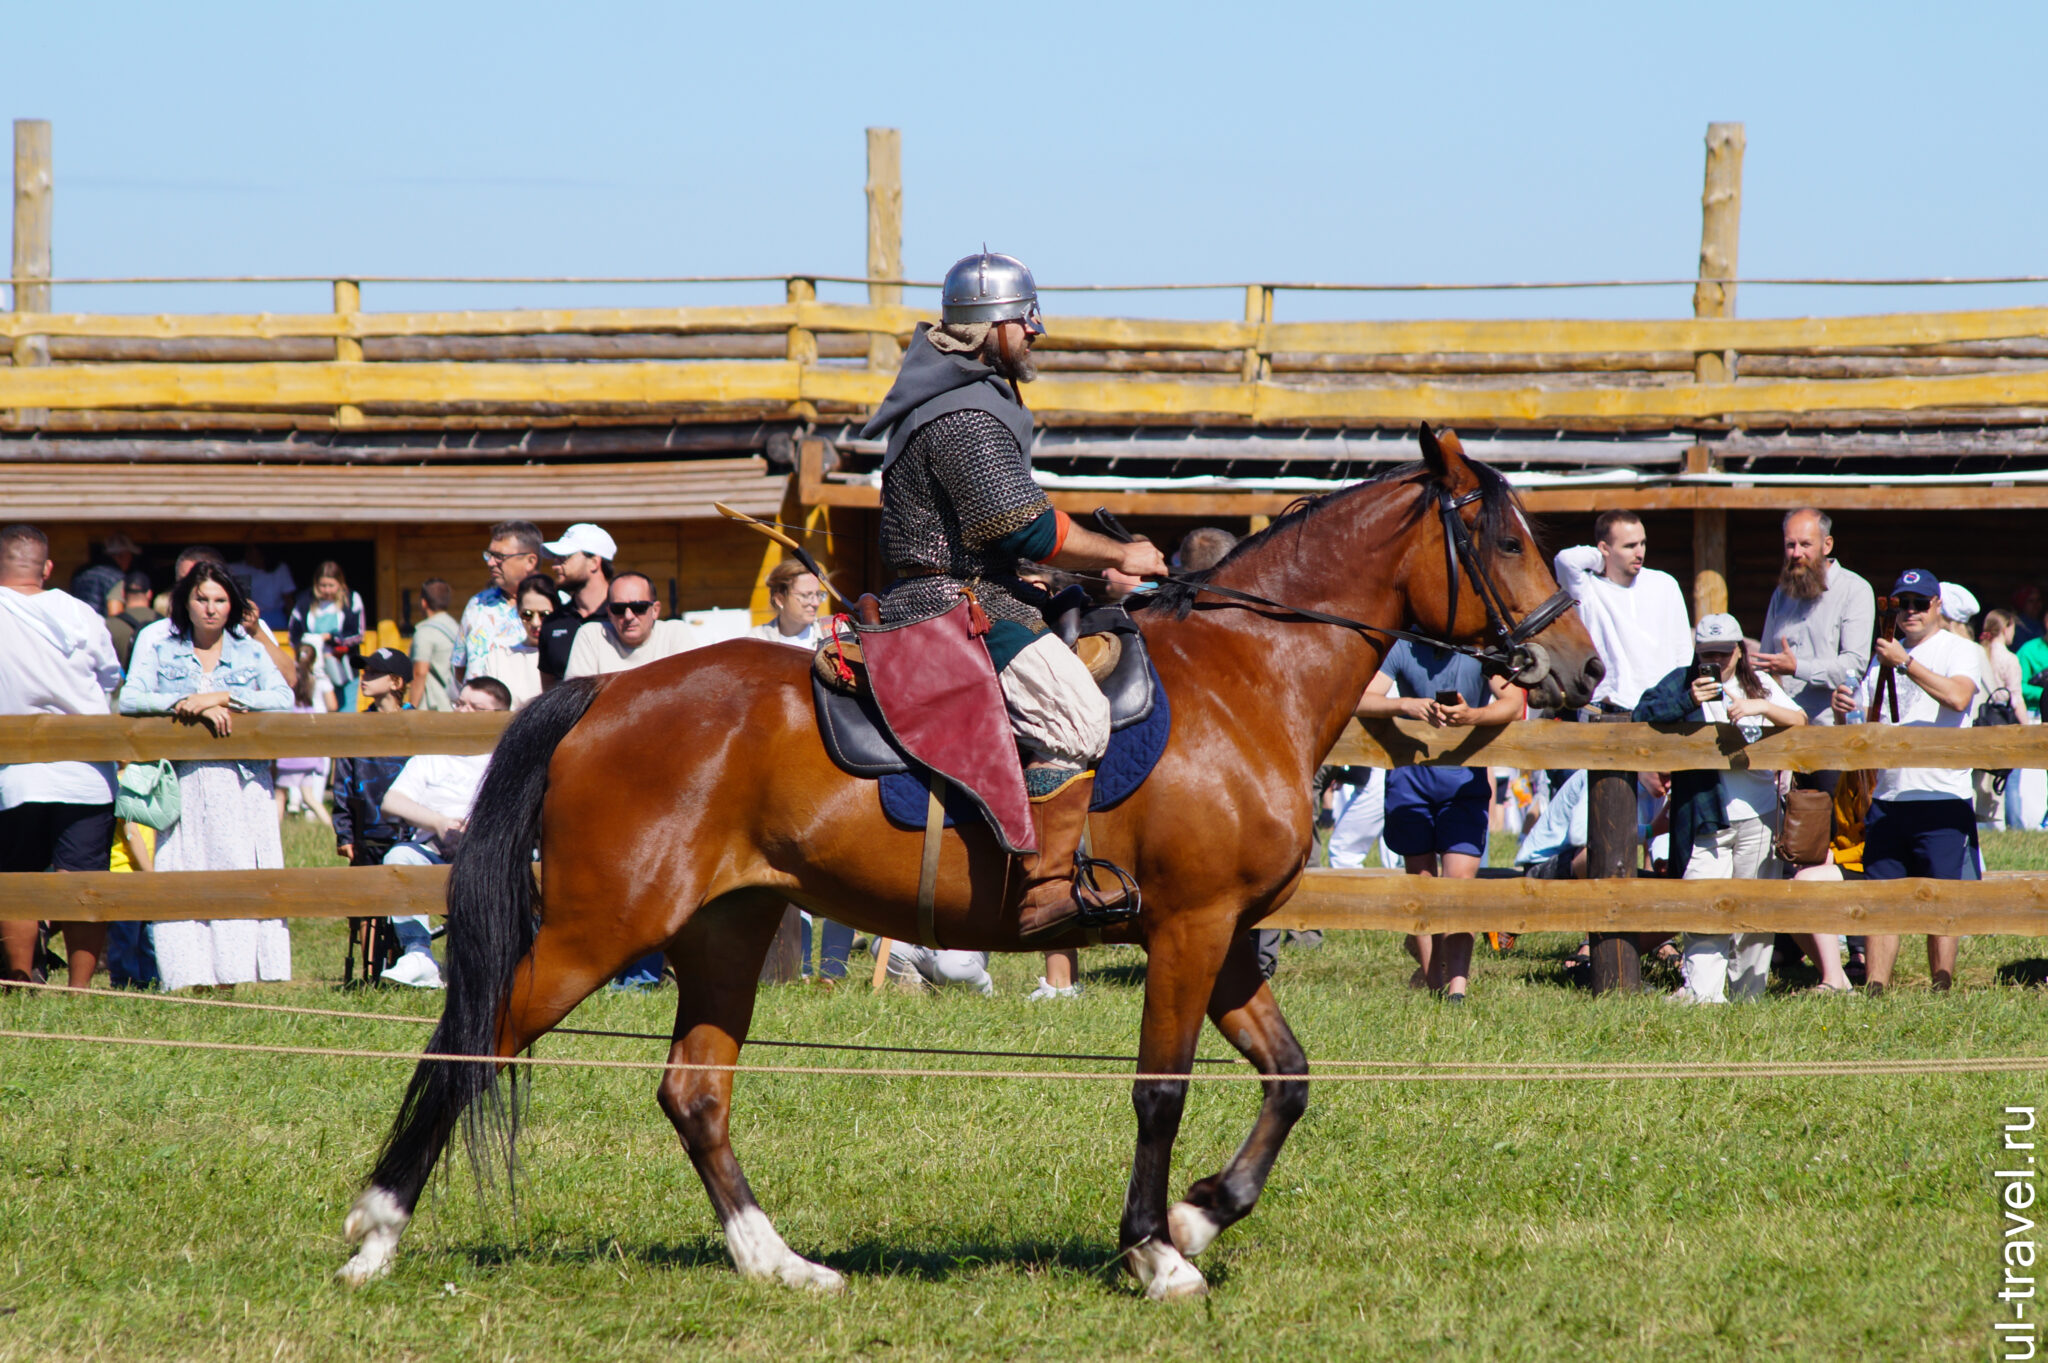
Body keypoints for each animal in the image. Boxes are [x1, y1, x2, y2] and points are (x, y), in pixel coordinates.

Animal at [344, 421, 1605, 1293]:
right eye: (1504, 538)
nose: (1582, 671)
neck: (1249, 675)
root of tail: (604, 692)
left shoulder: (1226, 933)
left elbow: (1287, 1076)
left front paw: (1201, 1212)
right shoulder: (1189, 928)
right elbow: (1158, 1088)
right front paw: (1154, 1251)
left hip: (724, 929)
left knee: (693, 1092)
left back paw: (775, 1262)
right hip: (598, 930)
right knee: (473, 1045)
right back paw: (373, 1236)